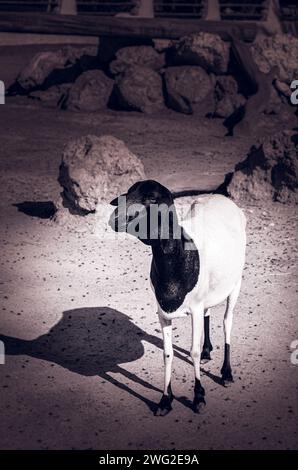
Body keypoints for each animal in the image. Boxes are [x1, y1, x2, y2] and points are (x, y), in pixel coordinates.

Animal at [109, 179, 247, 414]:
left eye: (152, 198)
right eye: (128, 193)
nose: (115, 218)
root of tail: (221, 198)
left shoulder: (195, 309)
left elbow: (193, 351)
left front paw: (199, 397)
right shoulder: (163, 313)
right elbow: (167, 354)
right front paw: (165, 400)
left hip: (235, 283)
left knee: (227, 321)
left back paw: (226, 373)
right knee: (209, 313)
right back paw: (208, 351)